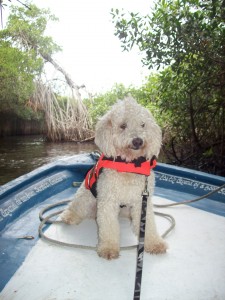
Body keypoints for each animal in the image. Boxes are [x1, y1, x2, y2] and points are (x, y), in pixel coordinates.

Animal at [61, 97, 167, 258]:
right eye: (123, 125)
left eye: (143, 124)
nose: (138, 141)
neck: (129, 164)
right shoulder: (108, 201)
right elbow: (109, 228)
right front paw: (108, 248)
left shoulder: (142, 201)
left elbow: (148, 226)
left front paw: (155, 244)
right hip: (85, 197)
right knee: (75, 207)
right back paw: (69, 216)